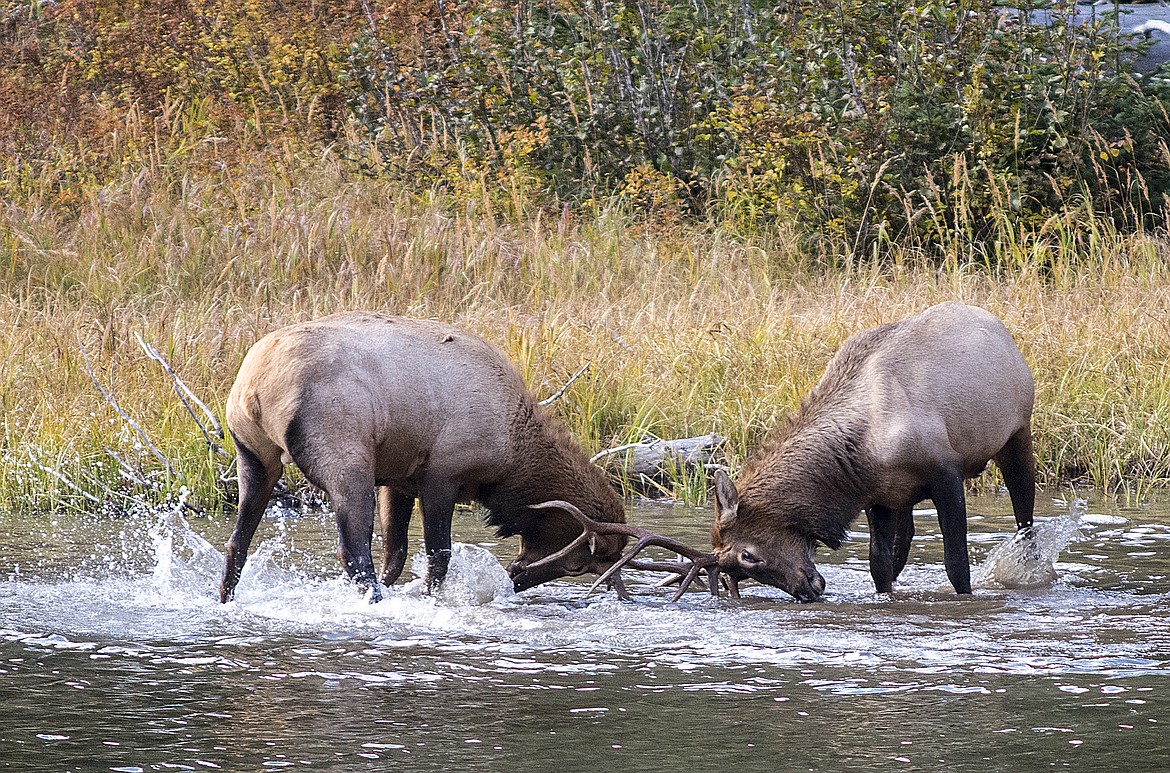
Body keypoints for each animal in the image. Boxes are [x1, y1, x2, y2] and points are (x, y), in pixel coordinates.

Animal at [219, 311, 645, 598]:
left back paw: (226, 597)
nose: (517, 578)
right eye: (578, 564)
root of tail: (256, 387)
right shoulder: (442, 473)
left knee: (237, 542)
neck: (510, 457)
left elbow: (396, 555)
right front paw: (427, 597)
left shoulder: (397, 477)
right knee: (353, 552)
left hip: (251, 454)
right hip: (344, 456)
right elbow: (438, 556)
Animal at [711, 304, 1034, 598]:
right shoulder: (879, 496)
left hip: (1017, 434)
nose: (805, 591)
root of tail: (999, 326)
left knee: (1025, 519)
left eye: (747, 555)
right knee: (905, 541)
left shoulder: (945, 472)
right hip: (904, 497)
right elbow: (880, 565)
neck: (865, 444)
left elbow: (956, 564)